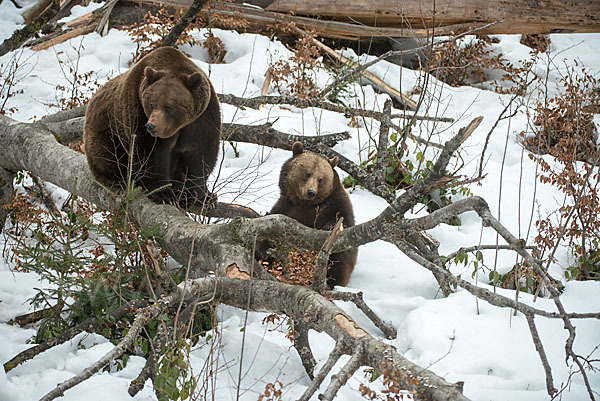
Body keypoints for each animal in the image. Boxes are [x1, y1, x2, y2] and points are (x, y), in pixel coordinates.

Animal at [81, 46, 218, 206]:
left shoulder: (202, 120)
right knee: (107, 155)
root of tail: (92, 101)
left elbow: (200, 156)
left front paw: (203, 196)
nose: (151, 126)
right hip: (107, 127)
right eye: (151, 104)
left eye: (168, 106)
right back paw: (118, 180)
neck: (178, 127)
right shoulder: (137, 113)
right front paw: (164, 194)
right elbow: (150, 154)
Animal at [260, 142, 358, 286]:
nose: (311, 192)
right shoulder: (286, 208)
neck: (305, 205)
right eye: (307, 173)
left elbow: (341, 229)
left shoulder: (335, 206)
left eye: (320, 179)